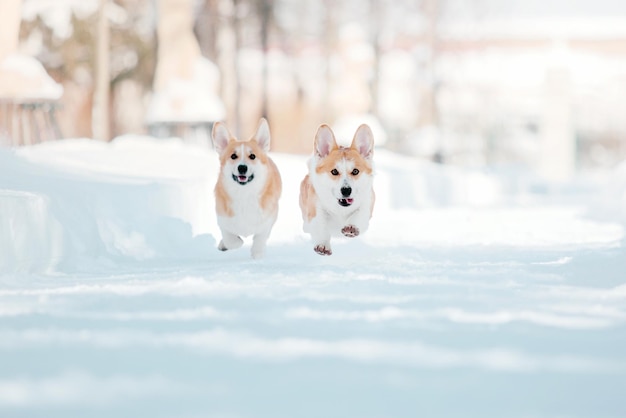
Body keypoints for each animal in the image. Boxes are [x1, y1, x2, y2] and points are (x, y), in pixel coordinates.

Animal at [211, 117, 282, 260]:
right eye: (233, 156)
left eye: (252, 156)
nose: (242, 167)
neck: (244, 194)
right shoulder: (222, 219)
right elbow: (231, 239)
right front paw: (234, 242)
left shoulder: (267, 220)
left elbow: (260, 238)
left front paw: (257, 255)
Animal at [298, 122, 372, 256]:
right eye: (334, 171)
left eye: (355, 171)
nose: (346, 190)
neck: (341, 209)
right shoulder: (316, 209)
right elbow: (321, 226)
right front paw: (322, 245)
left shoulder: (366, 206)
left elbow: (359, 215)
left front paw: (351, 227)